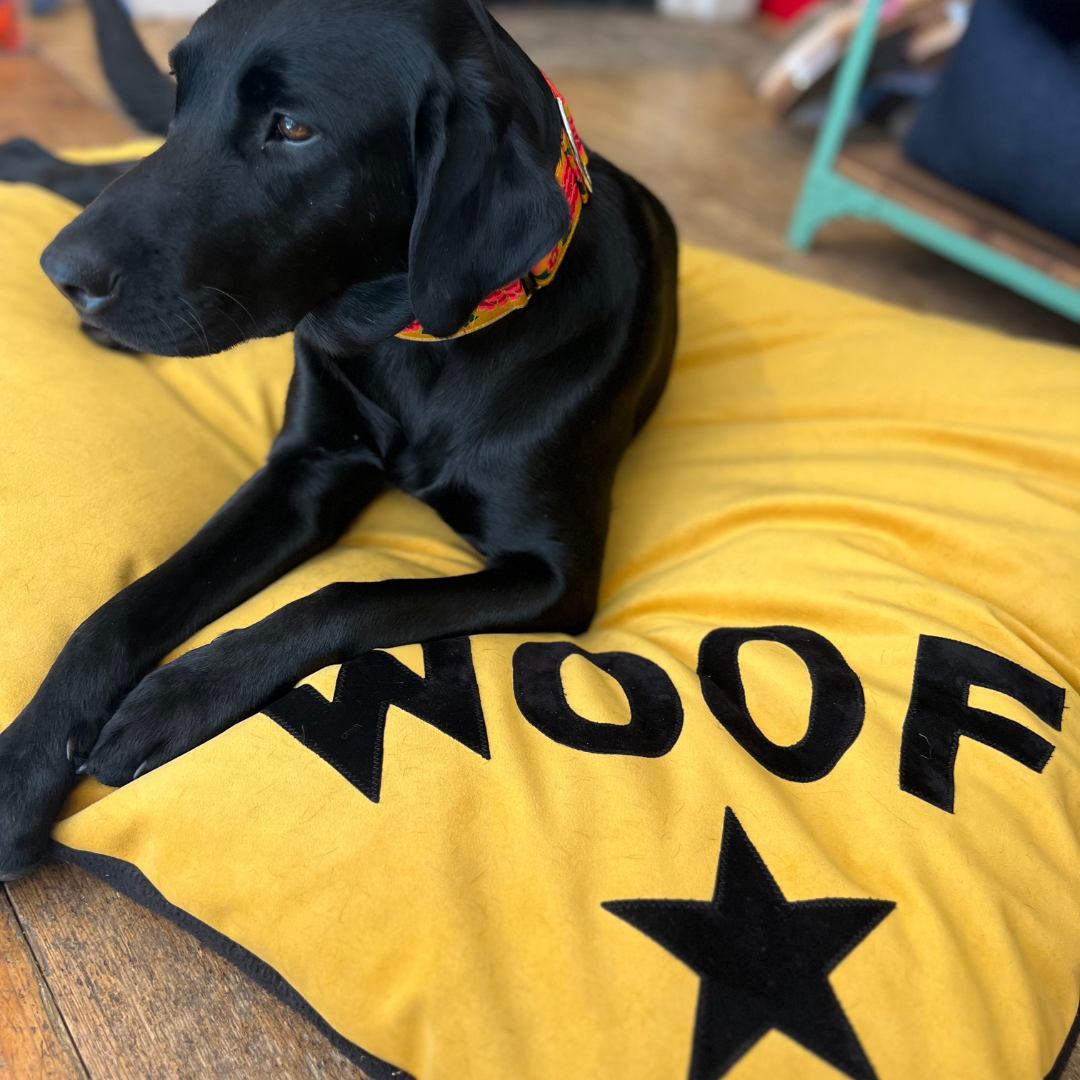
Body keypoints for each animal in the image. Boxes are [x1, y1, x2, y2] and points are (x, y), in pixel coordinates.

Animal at [0, 0, 673, 881]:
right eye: (183, 93)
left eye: (293, 128)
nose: (60, 271)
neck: (417, 346)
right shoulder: (302, 473)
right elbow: (118, 613)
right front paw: (22, 764)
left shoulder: (554, 577)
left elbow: (351, 595)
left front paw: (179, 696)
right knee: (88, 173)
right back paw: (25, 158)